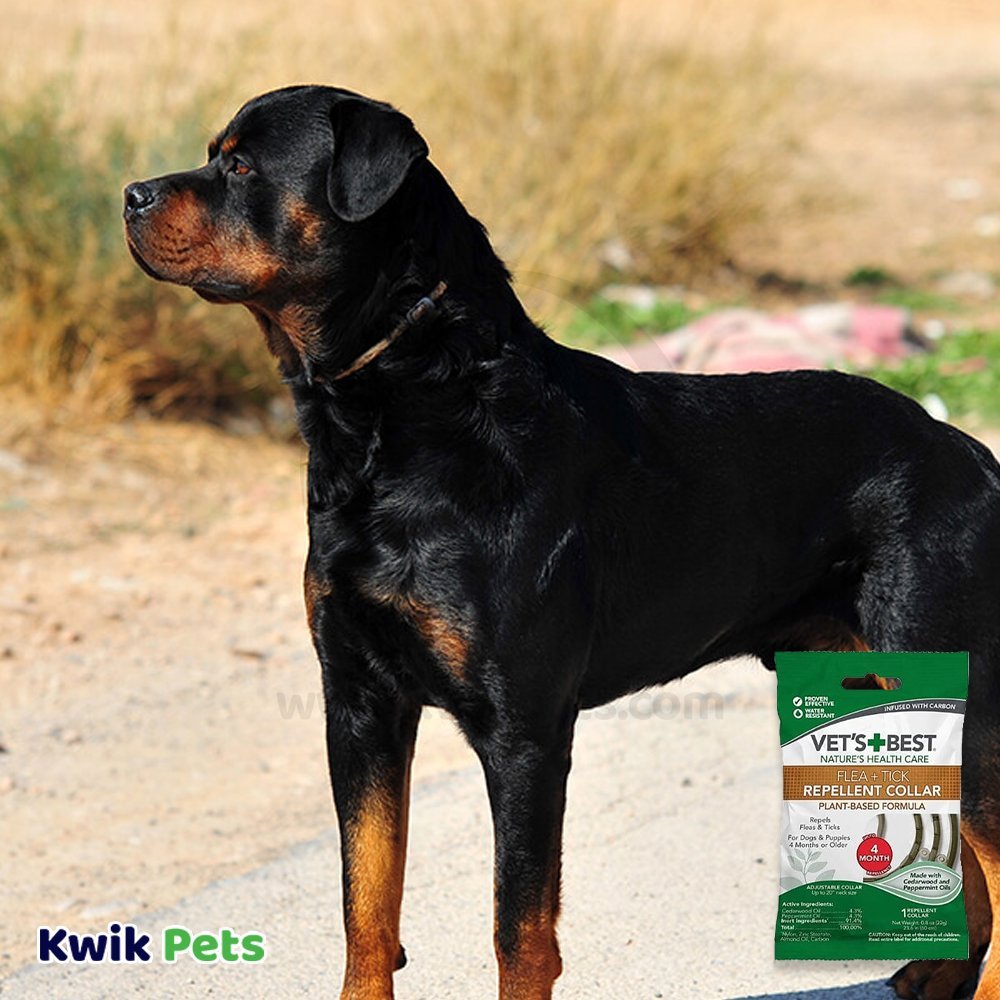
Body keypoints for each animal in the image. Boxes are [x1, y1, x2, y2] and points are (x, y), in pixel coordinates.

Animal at [124, 85, 1000, 1000]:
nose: (130, 195)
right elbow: (365, 900)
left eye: (241, 166)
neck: (403, 407)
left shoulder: (525, 732)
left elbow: (518, 927)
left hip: (951, 670)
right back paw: (940, 972)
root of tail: (971, 452)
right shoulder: (359, 704)